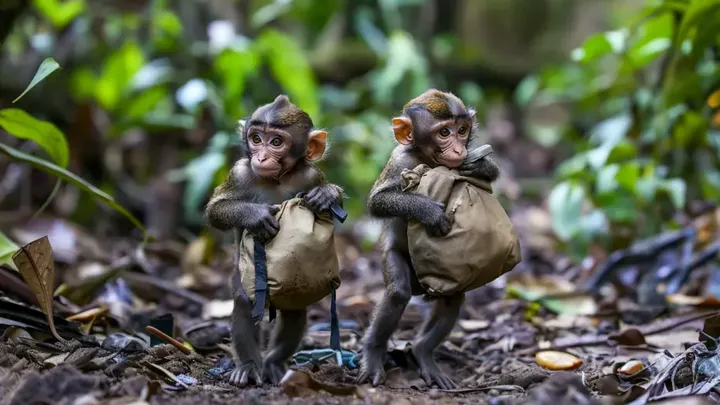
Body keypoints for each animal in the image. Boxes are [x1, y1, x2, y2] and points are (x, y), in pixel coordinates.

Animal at [204, 95, 344, 387]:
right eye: (256, 139)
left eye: (276, 142)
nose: (261, 156)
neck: (277, 179)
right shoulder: (239, 172)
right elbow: (216, 210)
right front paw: (256, 216)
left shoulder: (310, 175)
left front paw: (326, 194)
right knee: (244, 304)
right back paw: (248, 367)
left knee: (294, 312)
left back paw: (274, 363)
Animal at [356, 89, 500, 389]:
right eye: (444, 132)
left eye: (461, 130)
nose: (458, 150)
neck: (430, 159)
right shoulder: (399, 161)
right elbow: (378, 201)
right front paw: (429, 212)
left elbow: (489, 171)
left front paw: (480, 165)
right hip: (400, 267)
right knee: (398, 293)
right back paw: (374, 355)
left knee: (452, 299)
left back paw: (423, 352)